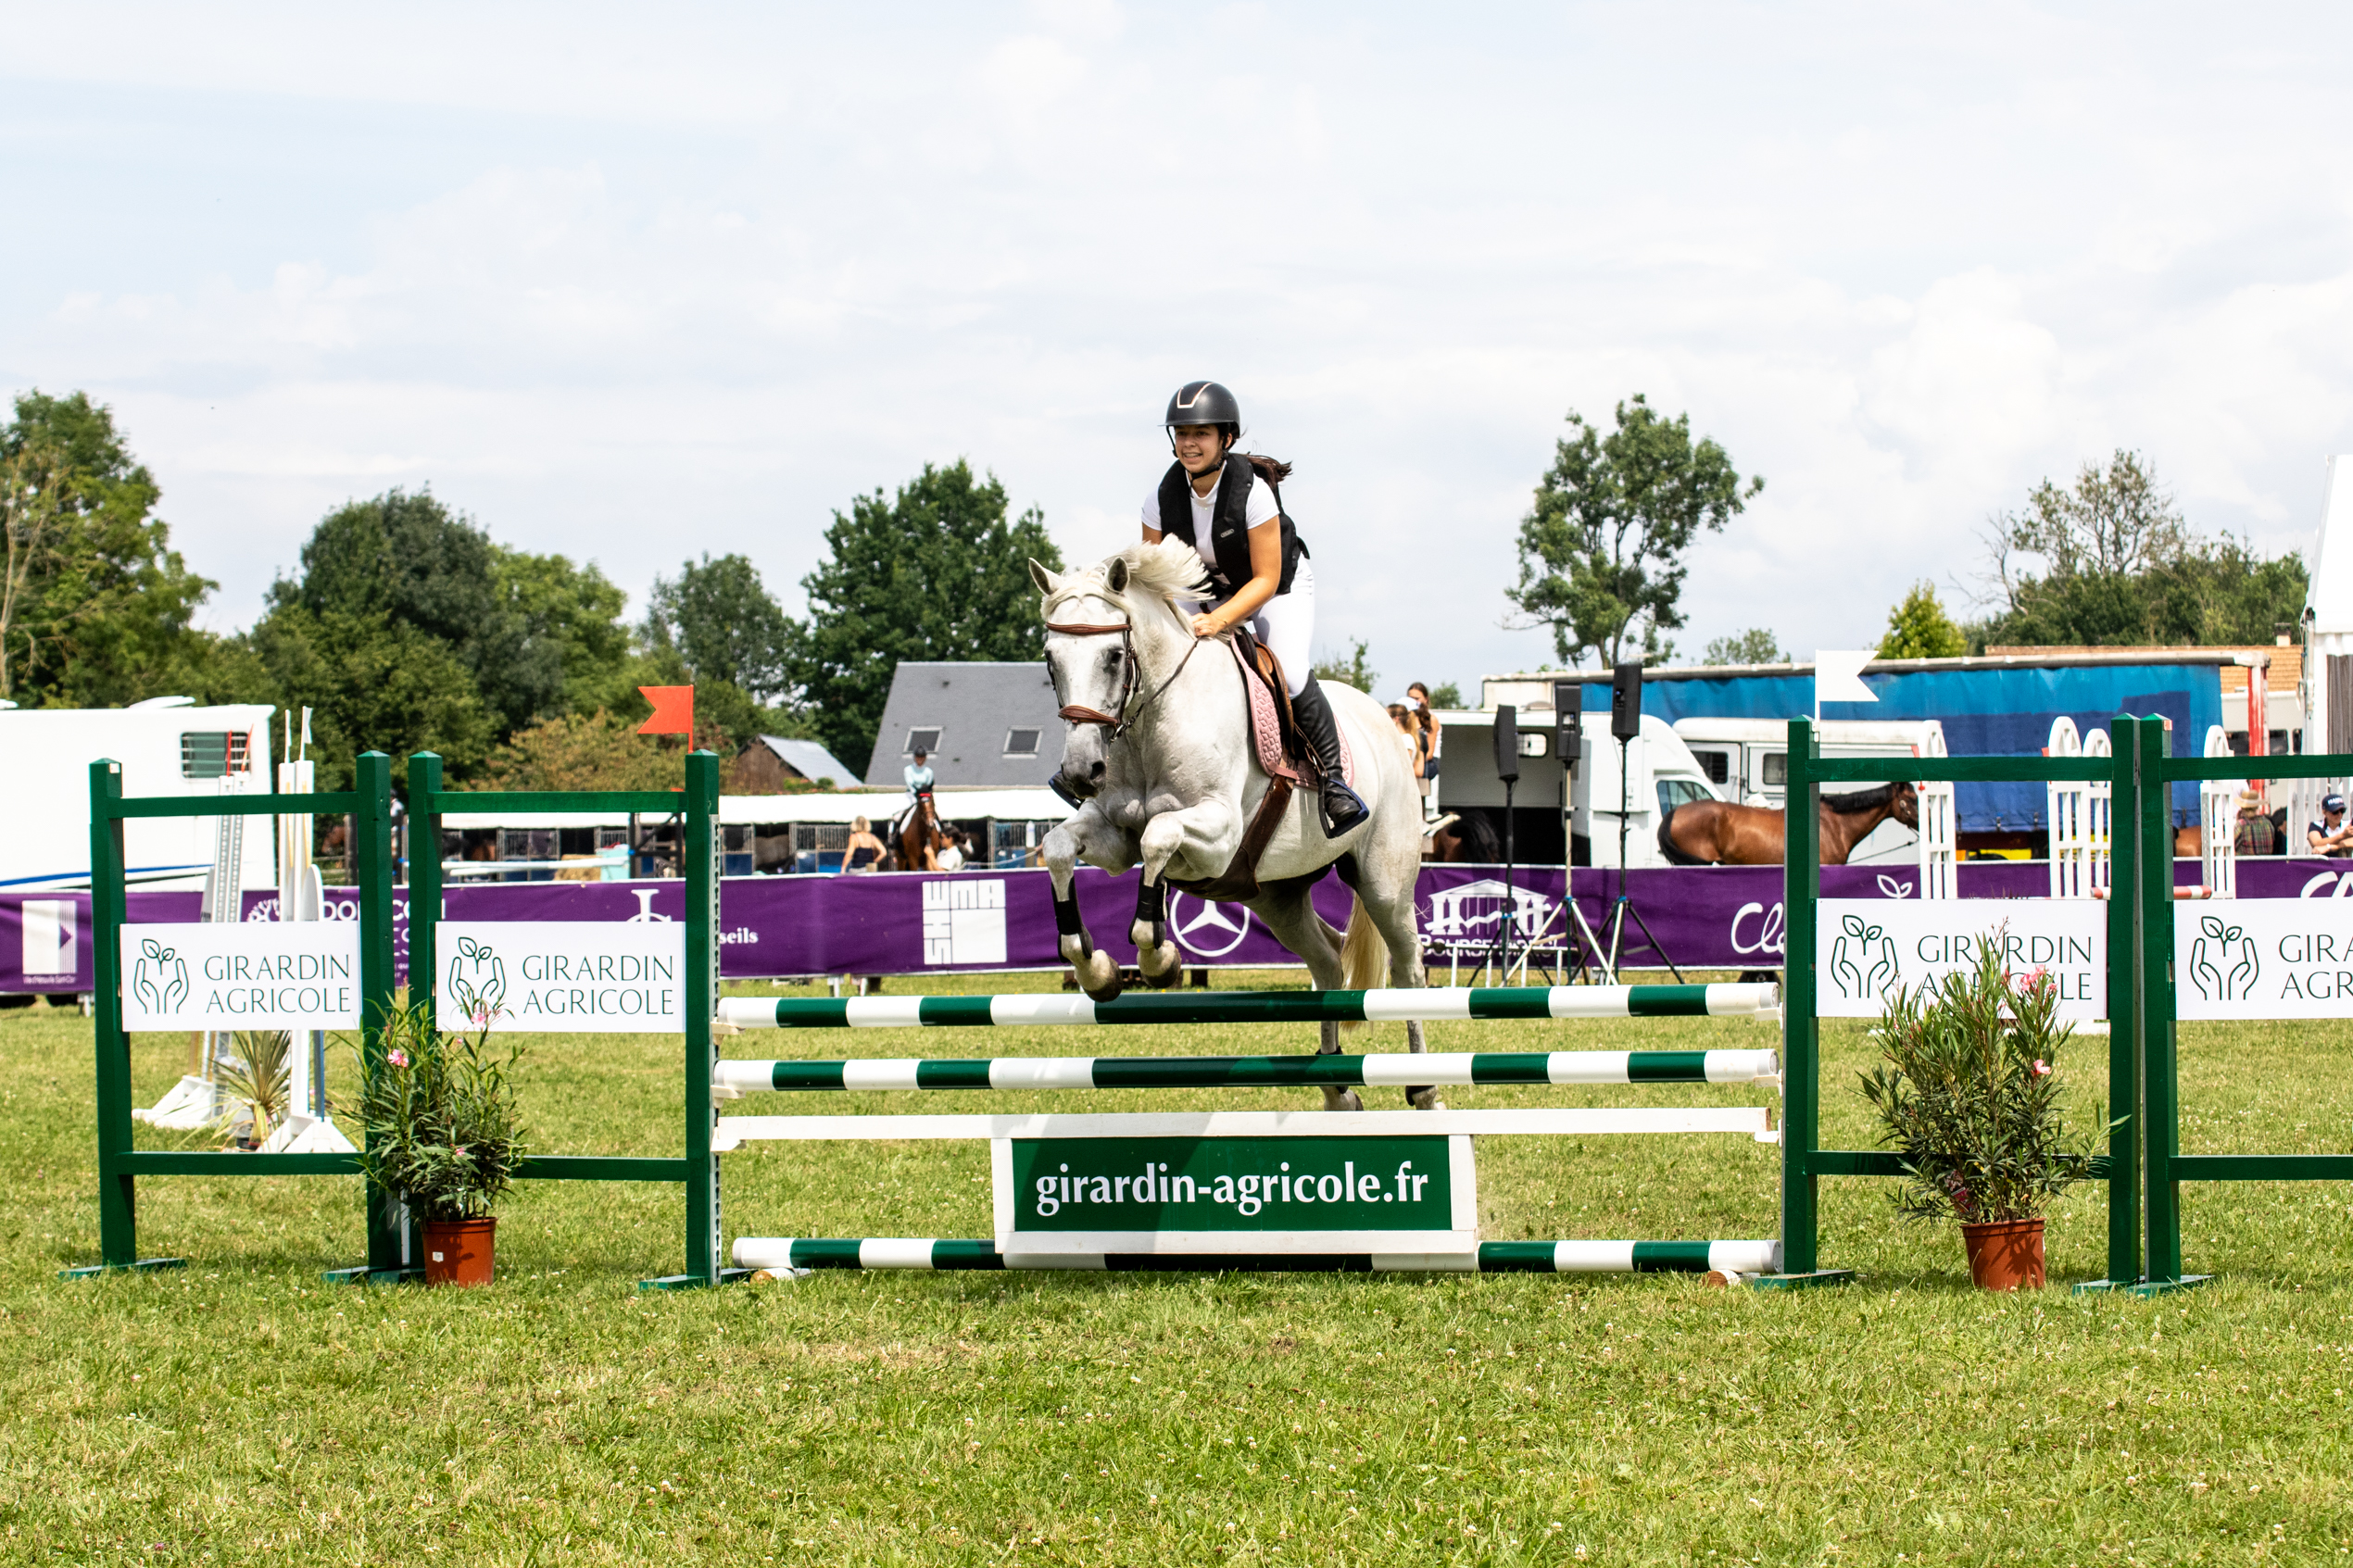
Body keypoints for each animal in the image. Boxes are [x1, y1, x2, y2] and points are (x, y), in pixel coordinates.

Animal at [1031, 541, 1434, 1110]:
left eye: (1113, 656)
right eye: (1051, 660)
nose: (1080, 772)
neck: (1152, 720)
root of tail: (1386, 722)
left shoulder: (1218, 835)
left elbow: (1159, 836)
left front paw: (1159, 960)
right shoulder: (1112, 834)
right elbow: (1061, 845)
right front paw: (1096, 969)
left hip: (1384, 883)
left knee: (1407, 966)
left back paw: (1423, 1087)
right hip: (1277, 898)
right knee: (1328, 960)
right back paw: (1337, 1090)